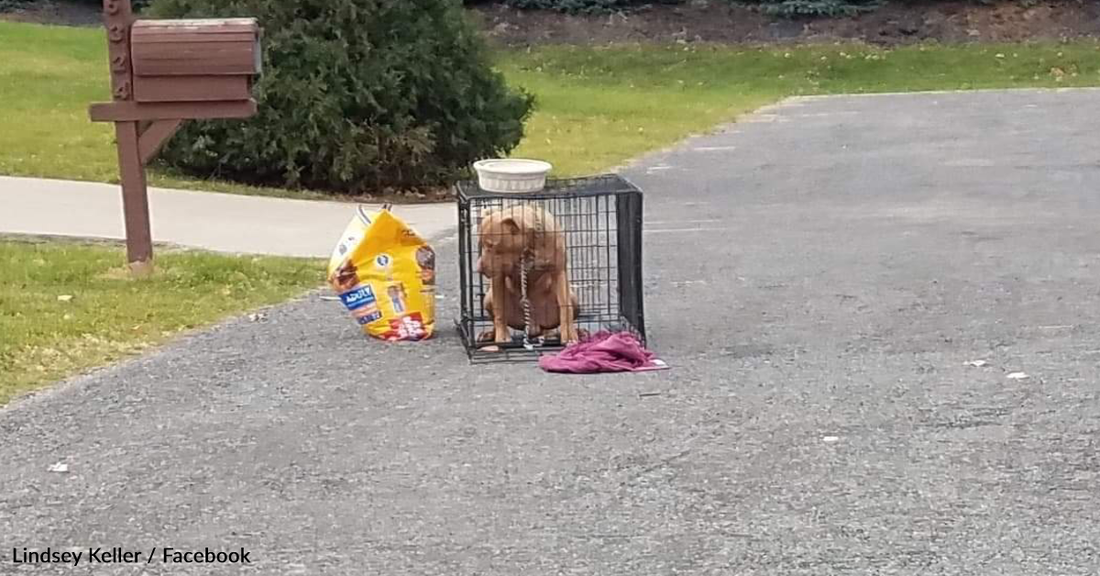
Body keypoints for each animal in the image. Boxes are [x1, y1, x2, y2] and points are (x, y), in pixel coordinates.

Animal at [475, 204, 580, 345]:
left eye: (491, 245)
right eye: (481, 244)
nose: (478, 268)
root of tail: (533, 327)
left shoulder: (559, 271)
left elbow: (565, 307)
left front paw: (569, 336)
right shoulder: (498, 277)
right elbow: (499, 310)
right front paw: (502, 337)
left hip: (574, 299)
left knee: (551, 326)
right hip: (488, 298)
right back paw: (489, 334)